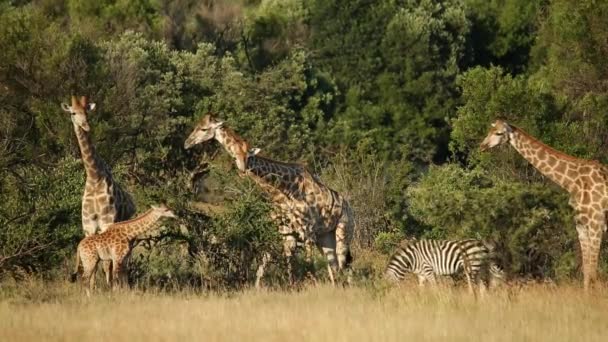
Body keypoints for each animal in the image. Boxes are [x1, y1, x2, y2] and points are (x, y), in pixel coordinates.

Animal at [60, 95, 137, 284]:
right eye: (73, 113)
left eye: (87, 112)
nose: (86, 126)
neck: (94, 178)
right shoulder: (88, 226)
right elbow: (93, 263)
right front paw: (93, 288)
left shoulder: (106, 223)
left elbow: (106, 264)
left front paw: (109, 287)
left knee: (124, 259)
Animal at [185, 114, 356, 286]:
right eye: (197, 127)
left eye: (204, 129)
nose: (187, 143)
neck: (286, 190)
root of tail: (350, 208)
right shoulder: (286, 232)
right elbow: (280, 266)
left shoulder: (307, 231)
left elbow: (308, 265)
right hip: (325, 237)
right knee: (334, 267)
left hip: (343, 231)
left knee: (344, 264)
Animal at [482, 120, 604, 292]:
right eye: (490, 130)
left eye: (499, 133)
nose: (482, 145)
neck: (572, 181)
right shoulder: (581, 224)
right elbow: (587, 271)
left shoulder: (596, 223)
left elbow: (592, 270)